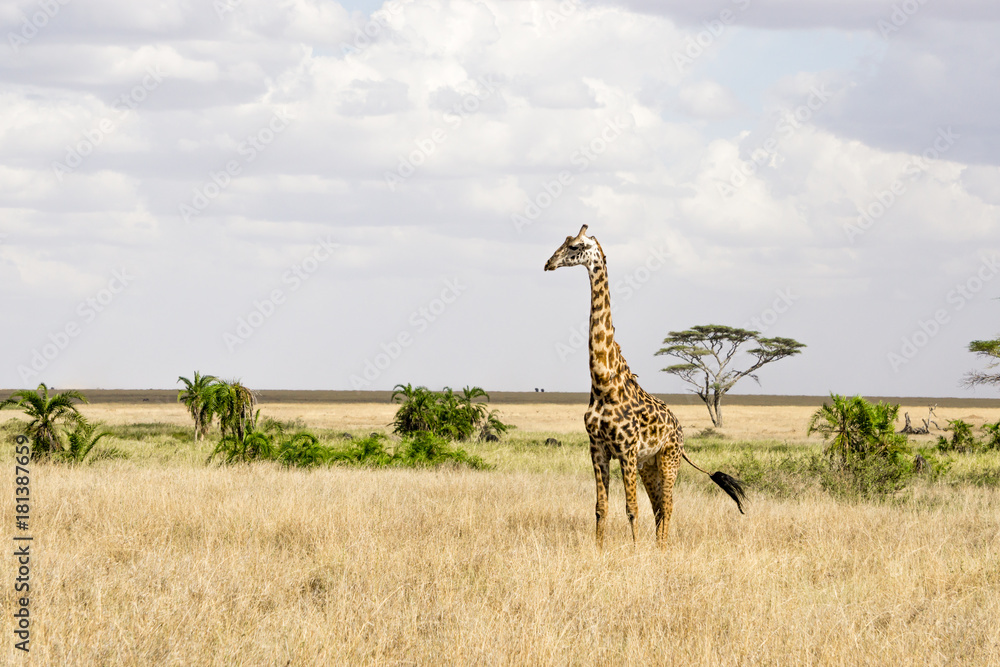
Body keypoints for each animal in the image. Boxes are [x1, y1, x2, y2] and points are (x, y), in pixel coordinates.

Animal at [544, 225, 746, 546]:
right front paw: (599, 550)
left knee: (669, 505)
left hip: (668, 459)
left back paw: (662, 549)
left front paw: (636, 552)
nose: (549, 263)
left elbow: (631, 508)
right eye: (563, 243)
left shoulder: (626, 449)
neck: (603, 383)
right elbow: (601, 507)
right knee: (659, 507)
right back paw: (658, 547)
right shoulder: (597, 448)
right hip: (648, 465)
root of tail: (678, 428)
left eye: (575, 246)